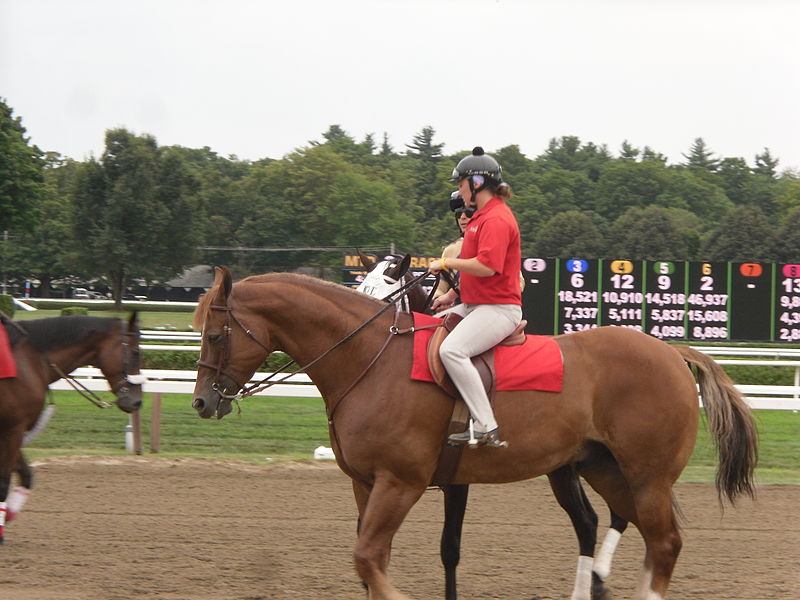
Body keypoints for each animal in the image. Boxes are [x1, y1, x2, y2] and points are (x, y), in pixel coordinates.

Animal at [0, 314, 142, 544]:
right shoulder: (12, 430)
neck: (29, 359)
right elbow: (4, 482)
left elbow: (27, 475)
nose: (137, 401)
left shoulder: (14, 430)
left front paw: (9, 514)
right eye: (136, 352)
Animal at [192, 268, 756, 600]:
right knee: (629, 532)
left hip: (647, 478)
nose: (202, 402)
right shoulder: (367, 485)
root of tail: (671, 352)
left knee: (662, 543)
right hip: (604, 470)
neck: (372, 358)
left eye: (216, 334)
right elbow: (374, 562)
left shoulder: (402, 483)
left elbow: (372, 559)